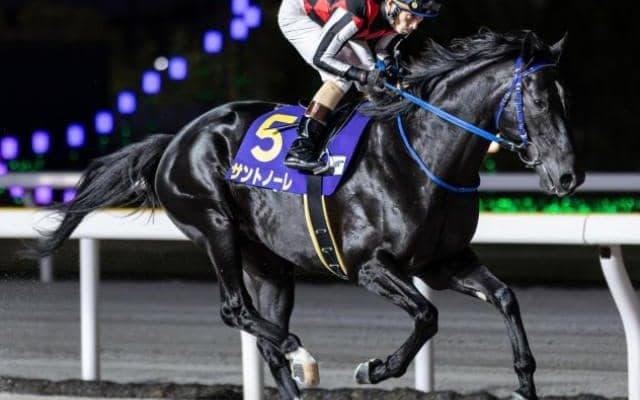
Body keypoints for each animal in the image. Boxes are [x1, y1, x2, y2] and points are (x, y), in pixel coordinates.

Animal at [34, 30, 583, 400]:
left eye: (565, 97)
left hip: (270, 264)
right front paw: (374, 368)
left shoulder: (442, 262)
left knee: (265, 339)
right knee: (236, 311)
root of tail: (176, 141)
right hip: (214, 226)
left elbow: (506, 297)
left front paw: (525, 383)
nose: (568, 176)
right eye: (538, 99)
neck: (421, 156)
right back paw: (304, 355)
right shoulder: (369, 265)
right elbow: (427, 317)